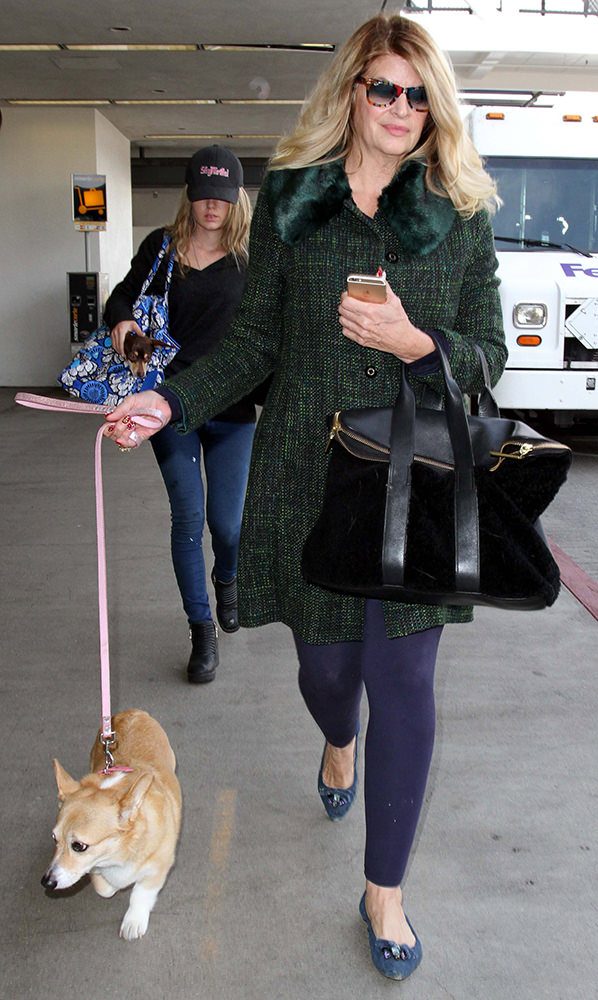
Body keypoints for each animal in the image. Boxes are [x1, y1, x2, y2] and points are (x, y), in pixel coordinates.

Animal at [40, 712, 182, 936]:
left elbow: (141, 893)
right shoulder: (98, 871)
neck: (119, 852)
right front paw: (113, 885)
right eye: (54, 839)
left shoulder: (159, 867)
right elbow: (104, 888)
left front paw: (134, 921)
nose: (46, 882)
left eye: (78, 846)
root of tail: (135, 712)